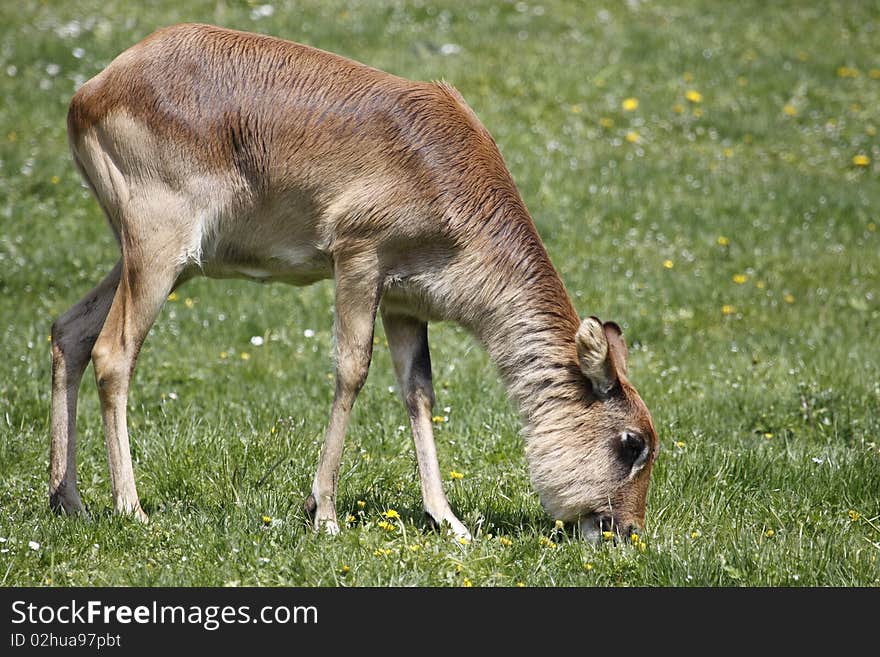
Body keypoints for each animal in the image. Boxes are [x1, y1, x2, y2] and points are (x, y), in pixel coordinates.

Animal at [49, 23, 652, 540]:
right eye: (632, 443)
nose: (626, 532)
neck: (445, 171)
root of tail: (92, 90)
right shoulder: (358, 259)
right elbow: (352, 370)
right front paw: (325, 514)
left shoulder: (405, 304)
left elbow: (418, 391)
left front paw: (448, 521)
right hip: (158, 255)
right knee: (112, 353)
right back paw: (131, 508)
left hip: (158, 262)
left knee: (69, 331)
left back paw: (69, 502)